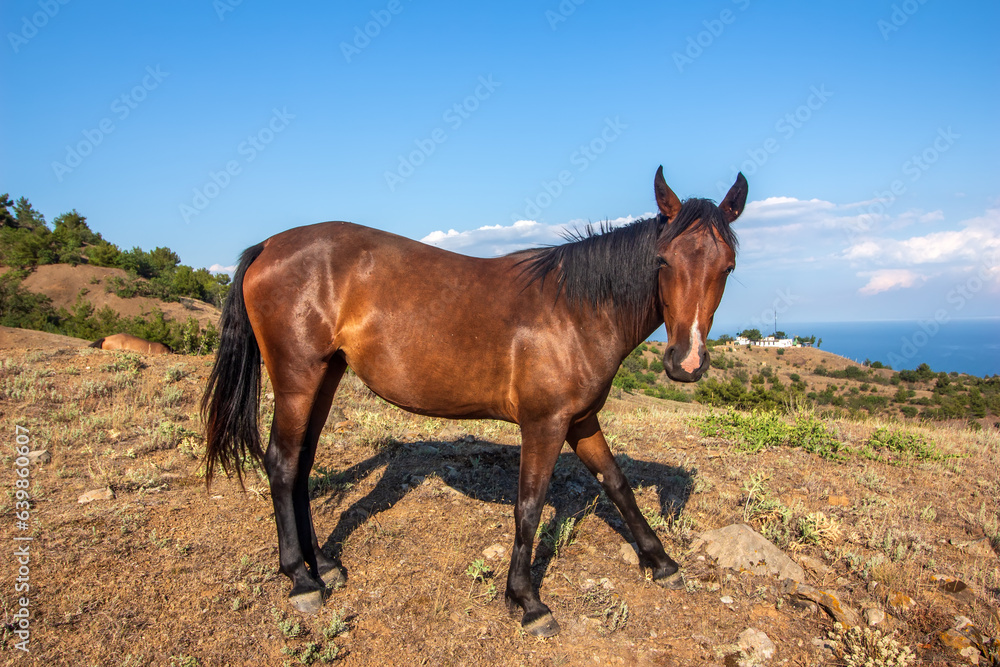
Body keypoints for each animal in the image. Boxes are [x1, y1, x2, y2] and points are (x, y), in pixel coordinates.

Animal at [203, 166, 748, 636]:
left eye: (727, 267)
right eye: (663, 261)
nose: (686, 362)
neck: (576, 311)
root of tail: (270, 245)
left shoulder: (580, 421)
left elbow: (617, 485)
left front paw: (661, 562)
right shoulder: (544, 424)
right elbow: (529, 505)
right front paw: (527, 602)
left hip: (325, 376)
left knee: (301, 464)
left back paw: (324, 565)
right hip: (298, 378)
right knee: (282, 463)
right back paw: (300, 579)